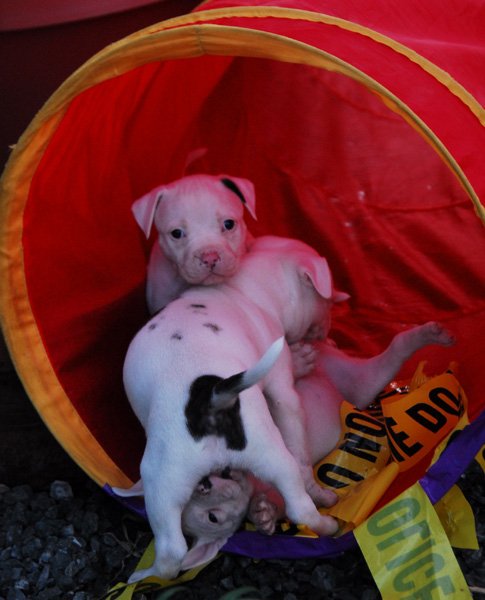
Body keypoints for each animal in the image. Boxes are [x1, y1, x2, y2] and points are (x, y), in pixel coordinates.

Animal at [120, 236, 340, 580]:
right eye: (326, 302)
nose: (326, 330)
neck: (245, 290)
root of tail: (209, 403)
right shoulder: (283, 390)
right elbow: (298, 435)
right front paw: (303, 359)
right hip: (266, 456)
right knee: (300, 501)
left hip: (165, 484)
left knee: (171, 553)